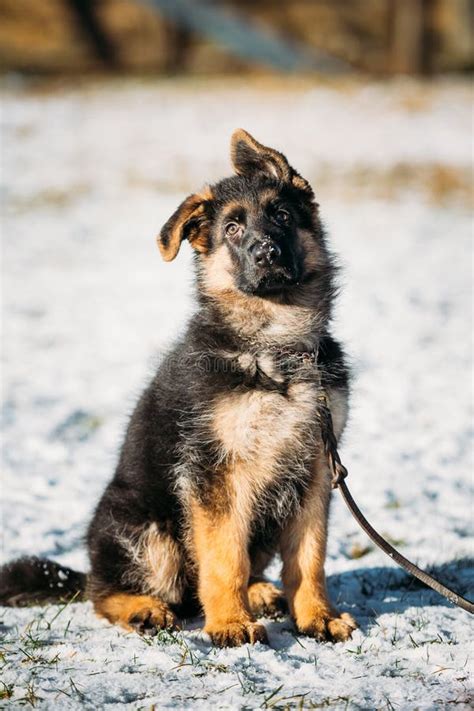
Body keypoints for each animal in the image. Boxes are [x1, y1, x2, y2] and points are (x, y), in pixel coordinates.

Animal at [0, 131, 356, 648]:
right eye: (232, 229)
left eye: (283, 217)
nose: (266, 253)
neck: (274, 344)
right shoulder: (215, 471)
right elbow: (225, 556)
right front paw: (229, 623)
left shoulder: (313, 468)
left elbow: (309, 558)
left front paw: (316, 617)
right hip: (148, 532)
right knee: (104, 593)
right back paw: (143, 609)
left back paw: (260, 592)